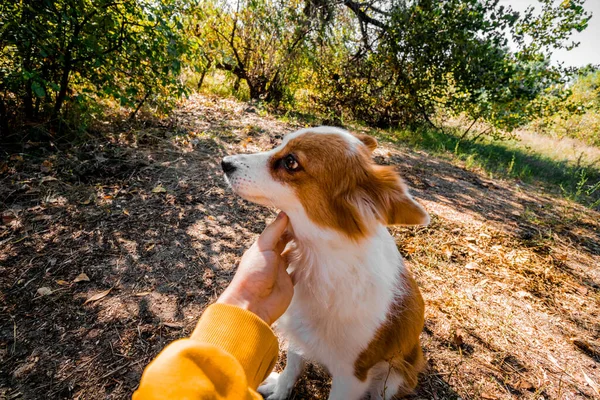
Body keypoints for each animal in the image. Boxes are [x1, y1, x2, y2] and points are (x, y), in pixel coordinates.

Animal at [223, 127, 428, 400]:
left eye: (291, 162)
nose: (225, 162)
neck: (320, 258)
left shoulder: (352, 376)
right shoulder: (300, 329)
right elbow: (292, 365)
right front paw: (281, 389)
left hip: (394, 377)